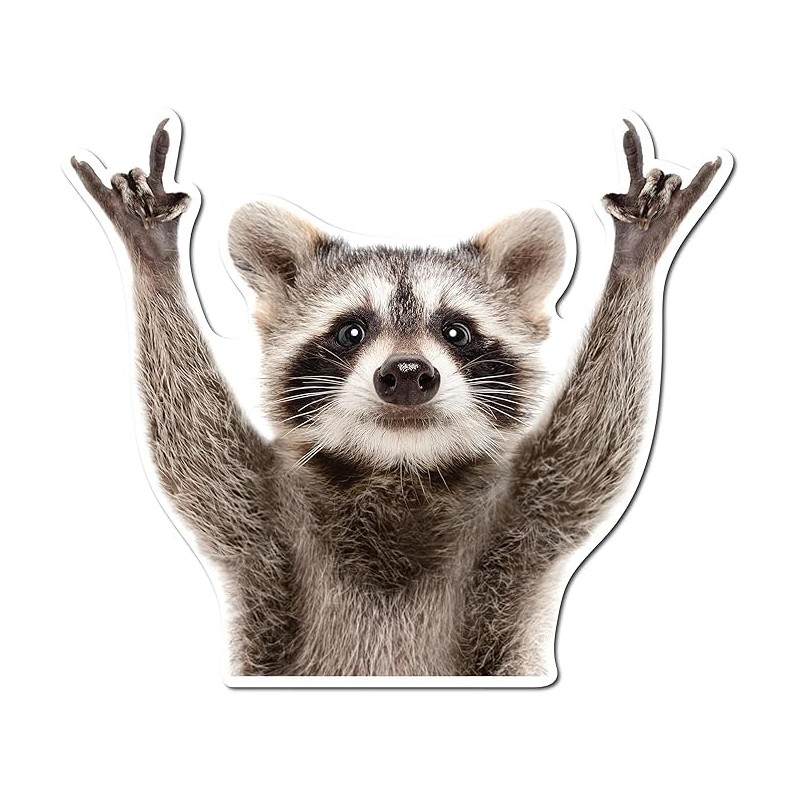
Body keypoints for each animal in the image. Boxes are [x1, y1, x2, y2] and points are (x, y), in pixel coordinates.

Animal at [69, 116, 728, 677]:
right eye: (351, 331)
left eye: (456, 331)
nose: (408, 374)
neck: (399, 469)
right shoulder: (264, 521)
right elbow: (193, 447)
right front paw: (154, 259)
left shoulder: (523, 520)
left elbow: (592, 447)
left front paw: (635, 260)